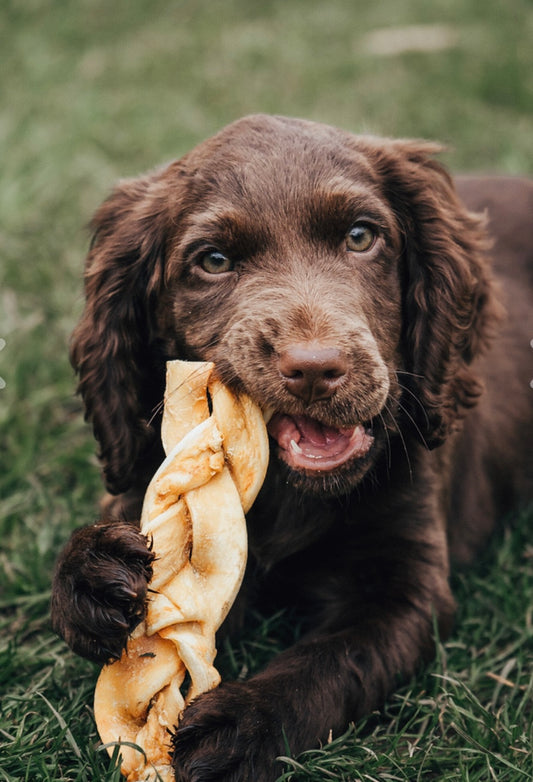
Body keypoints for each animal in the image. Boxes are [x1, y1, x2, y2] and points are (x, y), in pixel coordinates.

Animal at [51, 116, 532, 782]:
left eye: (361, 236)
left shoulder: (407, 587)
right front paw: (91, 577)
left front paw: (238, 727)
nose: (314, 369)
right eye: (214, 260)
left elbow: (332, 661)